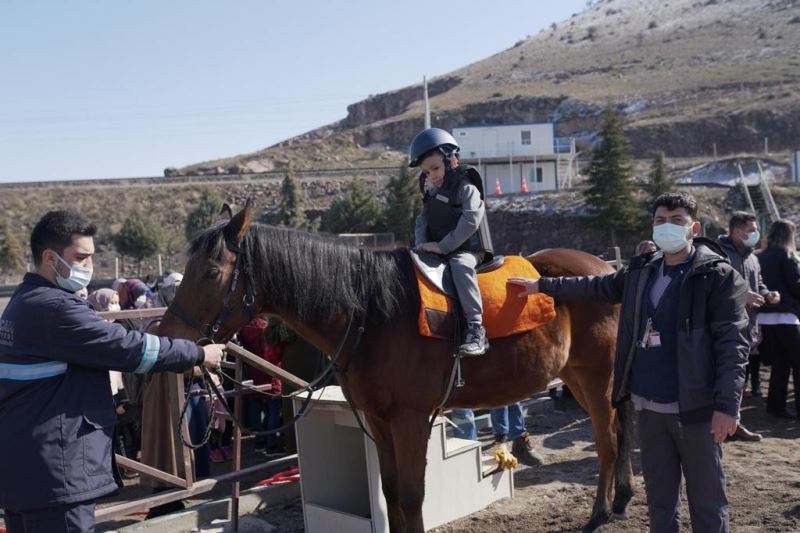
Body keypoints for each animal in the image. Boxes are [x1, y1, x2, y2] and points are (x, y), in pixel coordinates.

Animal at [159, 205, 636, 532]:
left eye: (212, 271)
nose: (167, 333)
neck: (373, 312)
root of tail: (607, 271)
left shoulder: (410, 419)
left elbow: (411, 495)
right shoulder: (378, 420)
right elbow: (390, 493)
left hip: (596, 376)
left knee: (608, 440)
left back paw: (599, 513)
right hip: (578, 374)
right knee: (620, 430)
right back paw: (622, 498)